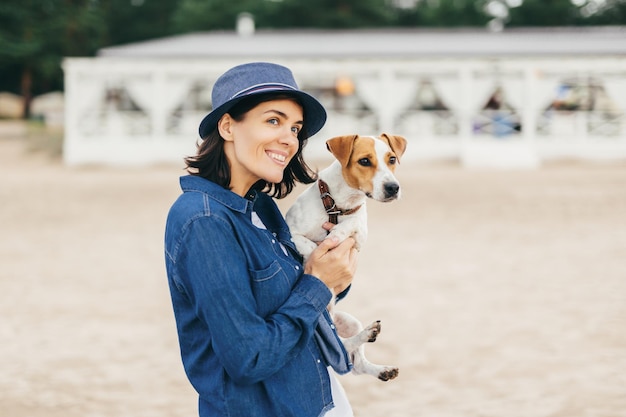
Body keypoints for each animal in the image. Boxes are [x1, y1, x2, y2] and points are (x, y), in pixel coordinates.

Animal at [286, 132, 408, 380]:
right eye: (364, 161)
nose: (393, 187)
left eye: (392, 159)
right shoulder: (290, 230)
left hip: (350, 321)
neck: (338, 206)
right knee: (343, 348)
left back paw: (379, 363)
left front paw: (337, 234)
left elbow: (352, 224)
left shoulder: (359, 233)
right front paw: (318, 256)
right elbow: (308, 245)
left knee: (354, 360)